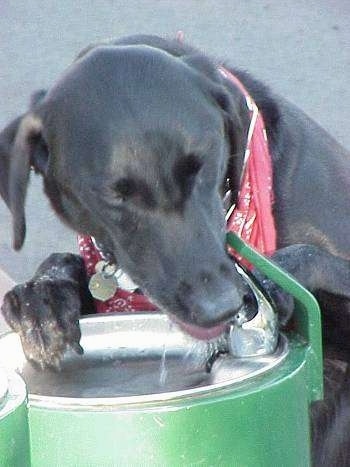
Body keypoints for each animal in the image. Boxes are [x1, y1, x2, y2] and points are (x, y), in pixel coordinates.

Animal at [0, 35, 350, 464]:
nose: (220, 306)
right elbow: (63, 267)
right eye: (114, 196)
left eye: (203, 166)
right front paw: (42, 298)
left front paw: (273, 278)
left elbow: (313, 259)